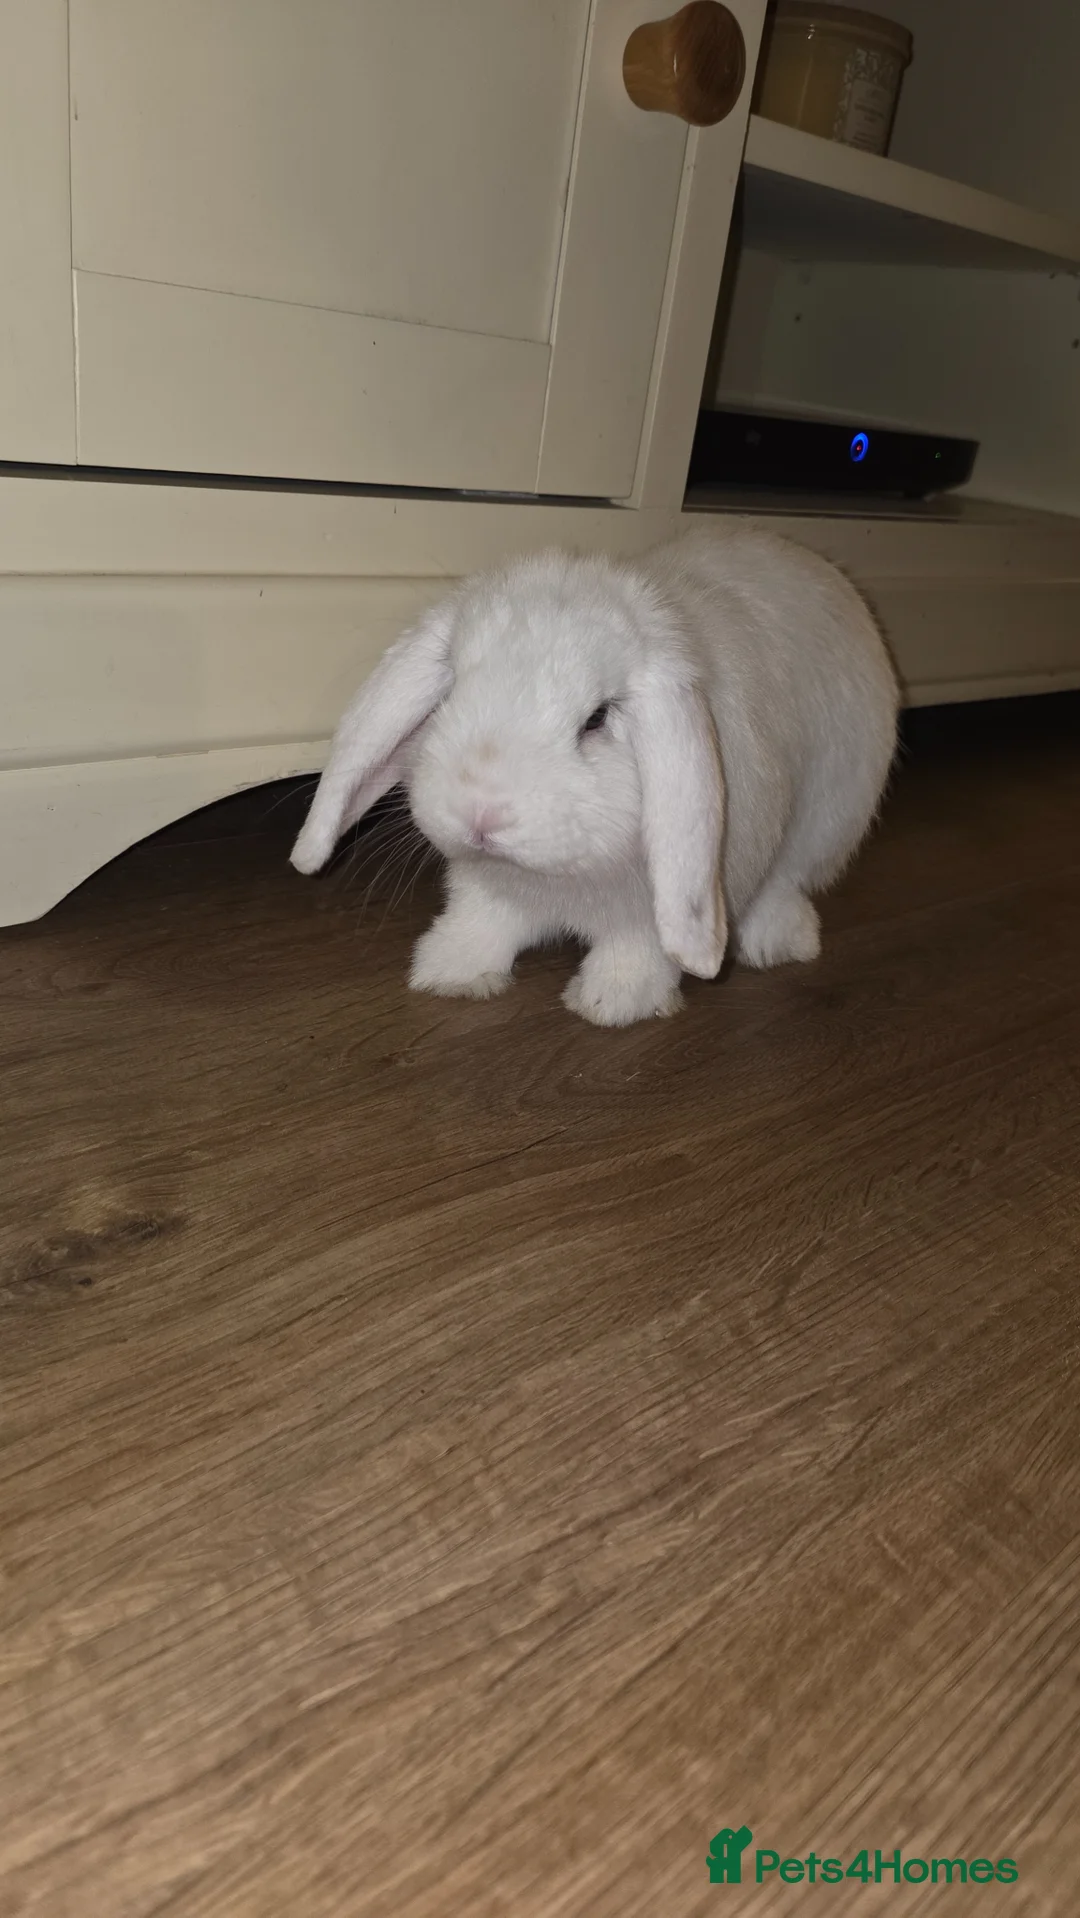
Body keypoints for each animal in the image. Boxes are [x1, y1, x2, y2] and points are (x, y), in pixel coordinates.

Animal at [291, 523, 899, 1026]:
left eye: (597, 719)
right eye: (453, 690)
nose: (479, 812)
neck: (558, 877)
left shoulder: (656, 906)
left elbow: (639, 948)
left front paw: (611, 1003)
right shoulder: (486, 889)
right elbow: (482, 922)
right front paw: (449, 972)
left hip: (827, 818)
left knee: (787, 878)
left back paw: (776, 941)